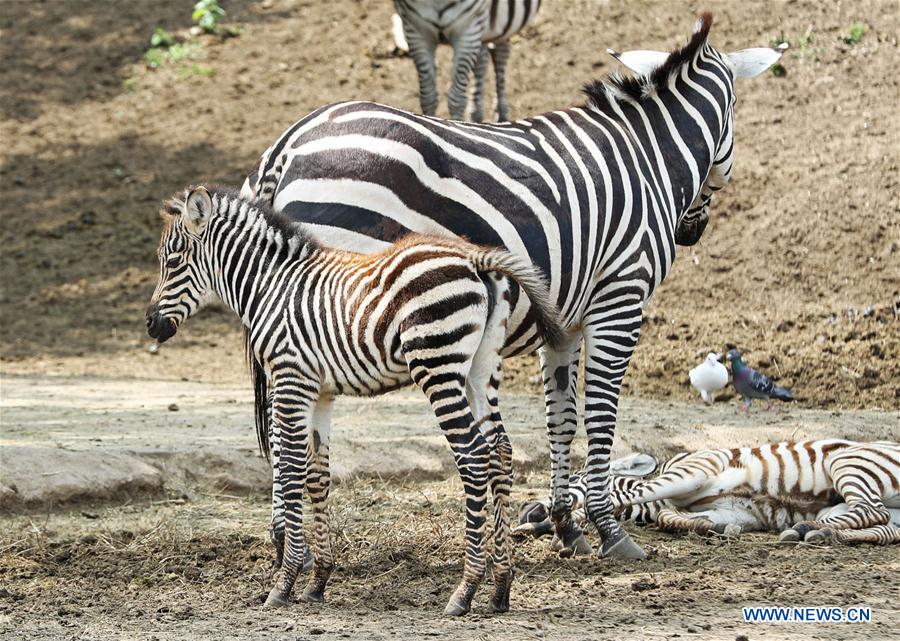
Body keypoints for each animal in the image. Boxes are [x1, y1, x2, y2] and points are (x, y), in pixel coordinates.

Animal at [149, 185, 568, 616]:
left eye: (173, 260)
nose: (151, 324)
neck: (271, 286)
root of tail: (473, 257)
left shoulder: (292, 379)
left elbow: (292, 469)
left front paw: (284, 582)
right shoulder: (321, 392)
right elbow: (317, 475)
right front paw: (317, 581)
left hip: (437, 367)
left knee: (472, 456)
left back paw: (465, 590)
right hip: (480, 370)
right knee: (500, 451)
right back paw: (500, 586)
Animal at [243, 13, 784, 560]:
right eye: (733, 119)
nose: (691, 231)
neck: (648, 157)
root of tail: (288, 145)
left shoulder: (563, 319)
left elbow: (561, 417)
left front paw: (566, 525)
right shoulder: (619, 298)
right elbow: (600, 415)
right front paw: (610, 531)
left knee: (280, 423)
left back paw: (282, 539)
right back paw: (295, 546)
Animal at [394, 0, 540, 120]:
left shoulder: (468, 32)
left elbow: (457, 99)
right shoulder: (415, 32)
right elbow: (428, 97)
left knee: (500, 52)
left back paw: (501, 113)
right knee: (482, 58)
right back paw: (476, 115)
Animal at [512, 440, 900, 544]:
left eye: (573, 477)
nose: (528, 509)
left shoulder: (693, 470)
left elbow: (640, 500)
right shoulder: (737, 510)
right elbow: (671, 518)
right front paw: (712, 528)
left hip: (850, 463)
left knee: (872, 509)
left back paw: (809, 530)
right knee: (883, 528)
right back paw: (817, 532)